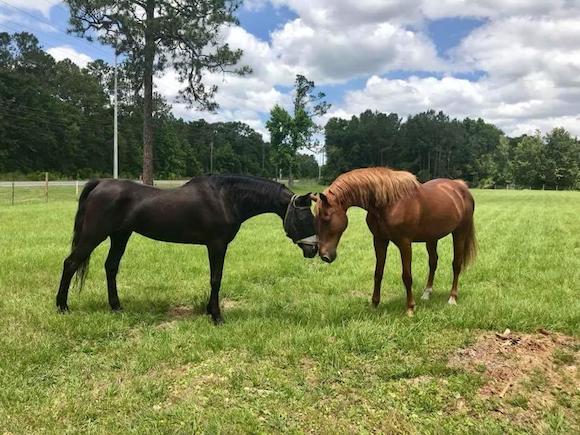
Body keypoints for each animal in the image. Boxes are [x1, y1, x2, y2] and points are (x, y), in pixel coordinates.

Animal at [57, 176, 320, 324]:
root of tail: (101, 183)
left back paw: (116, 306)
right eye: (305, 217)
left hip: (120, 236)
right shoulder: (217, 245)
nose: (314, 250)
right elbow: (216, 278)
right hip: (93, 236)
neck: (225, 198)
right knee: (70, 263)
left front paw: (209, 310)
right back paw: (62, 307)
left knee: (111, 267)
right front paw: (216, 315)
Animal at [314, 168, 478, 316]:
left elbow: (407, 276)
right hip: (432, 238)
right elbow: (378, 273)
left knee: (456, 264)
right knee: (433, 262)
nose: (324, 255)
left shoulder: (404, 243)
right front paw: (374, 304)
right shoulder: (379, 241)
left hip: (459, 233)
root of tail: (461, 187)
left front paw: (410, 308)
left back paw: (452, 298)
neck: (389, 203)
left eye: (326, 217)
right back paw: (427, 293)